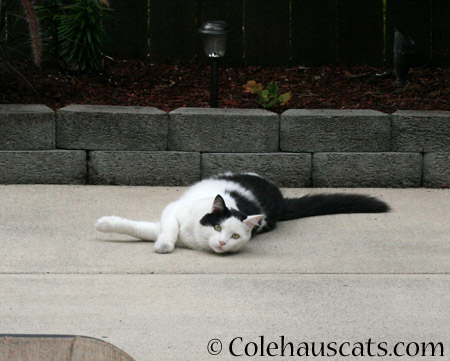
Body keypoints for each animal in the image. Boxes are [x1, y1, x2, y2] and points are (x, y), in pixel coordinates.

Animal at [96, 172, 390, 253]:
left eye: (236, 236)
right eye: (217, 227)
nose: (222, 243)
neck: (194, 239)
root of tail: (278, 196)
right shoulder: (172, 212)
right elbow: (150, 228)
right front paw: (104, 224)